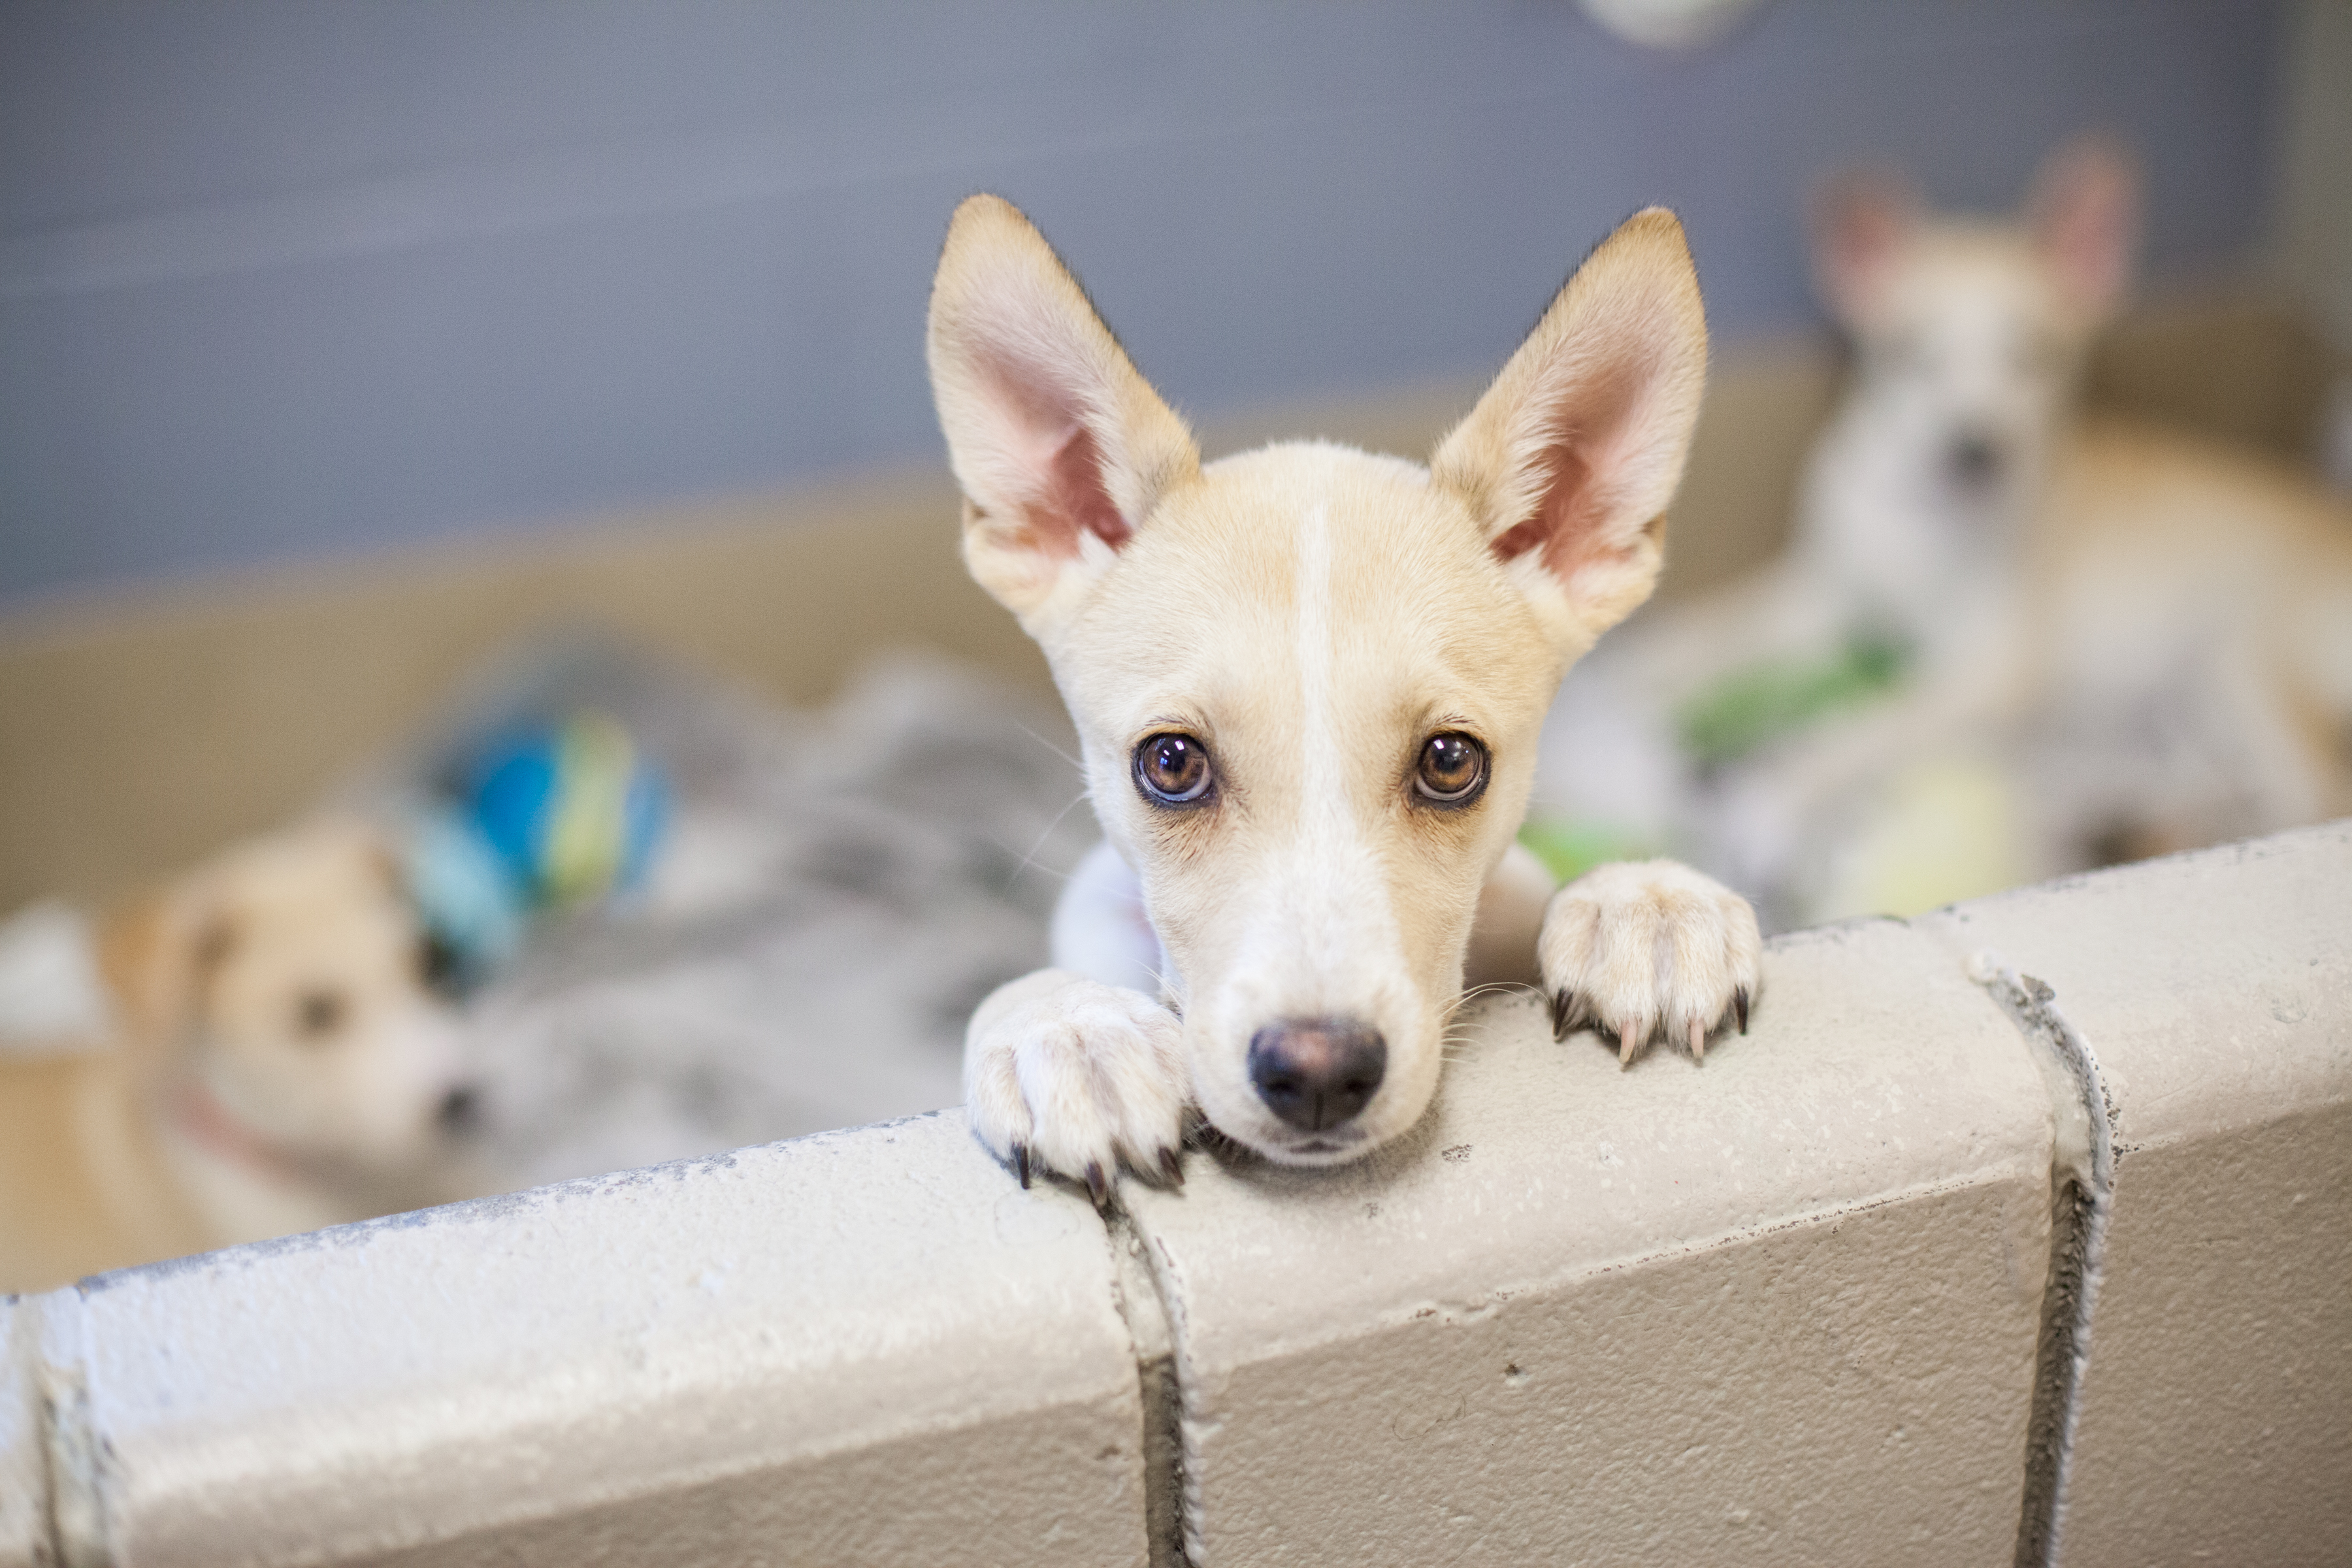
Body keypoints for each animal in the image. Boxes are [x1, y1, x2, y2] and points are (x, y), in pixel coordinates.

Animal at [931, 199, 1769, 1203]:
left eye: (1451, 761)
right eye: (1170, 762)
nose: (1319, 1073)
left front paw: (1644, 903)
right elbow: (1032, 984)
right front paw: (1067, 1029)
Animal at [1543, 138, 2352, 930]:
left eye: (2039, 357)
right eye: (1906, 352)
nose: (1974, 449)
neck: (1920, 519)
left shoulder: (1989, 671)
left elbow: (1868, 726)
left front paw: (1775, 796)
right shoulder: (1821, 600)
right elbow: (1704, 638)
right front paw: (1619, 684)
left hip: (2242, 668)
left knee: (2313, 801)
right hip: (2183, 715)